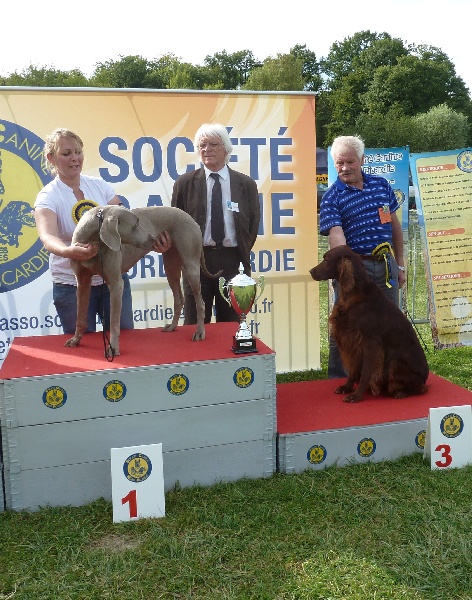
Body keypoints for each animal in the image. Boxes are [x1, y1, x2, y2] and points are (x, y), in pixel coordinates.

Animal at [65, 205, 221, 357]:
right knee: (178, 299)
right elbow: (80, 317)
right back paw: (172, 326)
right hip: (170, 267)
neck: (92, 241)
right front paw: (75, 339)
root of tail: (190, 218)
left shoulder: (116, 285)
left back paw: (199, 332)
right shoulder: (82, 282)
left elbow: (114, 323)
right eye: (135, 224)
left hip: (191, 265)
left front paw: (113, 348)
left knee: (200, 302)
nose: (153, 238)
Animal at [309, 245, 429, 402]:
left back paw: (401, 392)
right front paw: (347, 387)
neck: (354, 293)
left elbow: (366, 373)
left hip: (395, 364)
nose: (311, 271)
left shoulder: (370, 343)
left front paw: (356, 395)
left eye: (327, 259)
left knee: (421, 388)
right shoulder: (353, 341)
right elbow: (353, 370)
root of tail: (425, 377)